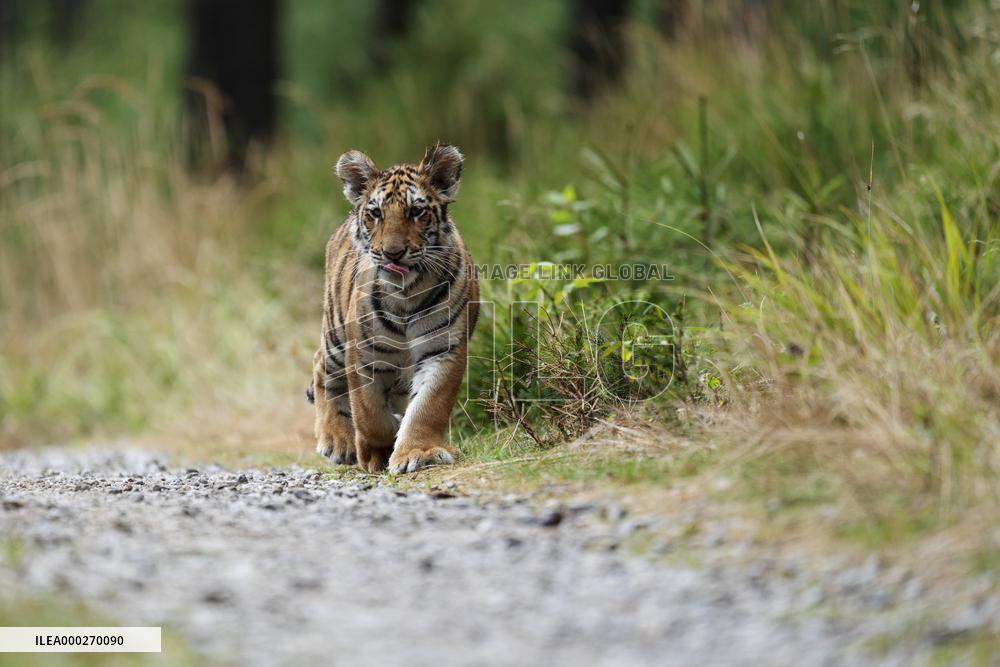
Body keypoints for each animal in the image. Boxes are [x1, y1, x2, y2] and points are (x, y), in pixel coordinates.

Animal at [307, 144, 479, 473]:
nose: (393, 253)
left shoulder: (443, 349)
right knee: (322, 366)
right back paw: (337, 440)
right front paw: (376, 453)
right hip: (335, 334)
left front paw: (418, 452)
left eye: (416, 212)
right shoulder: (363, 355)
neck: (405, 295)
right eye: (376, 214)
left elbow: (428, 404)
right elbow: (370, 414)